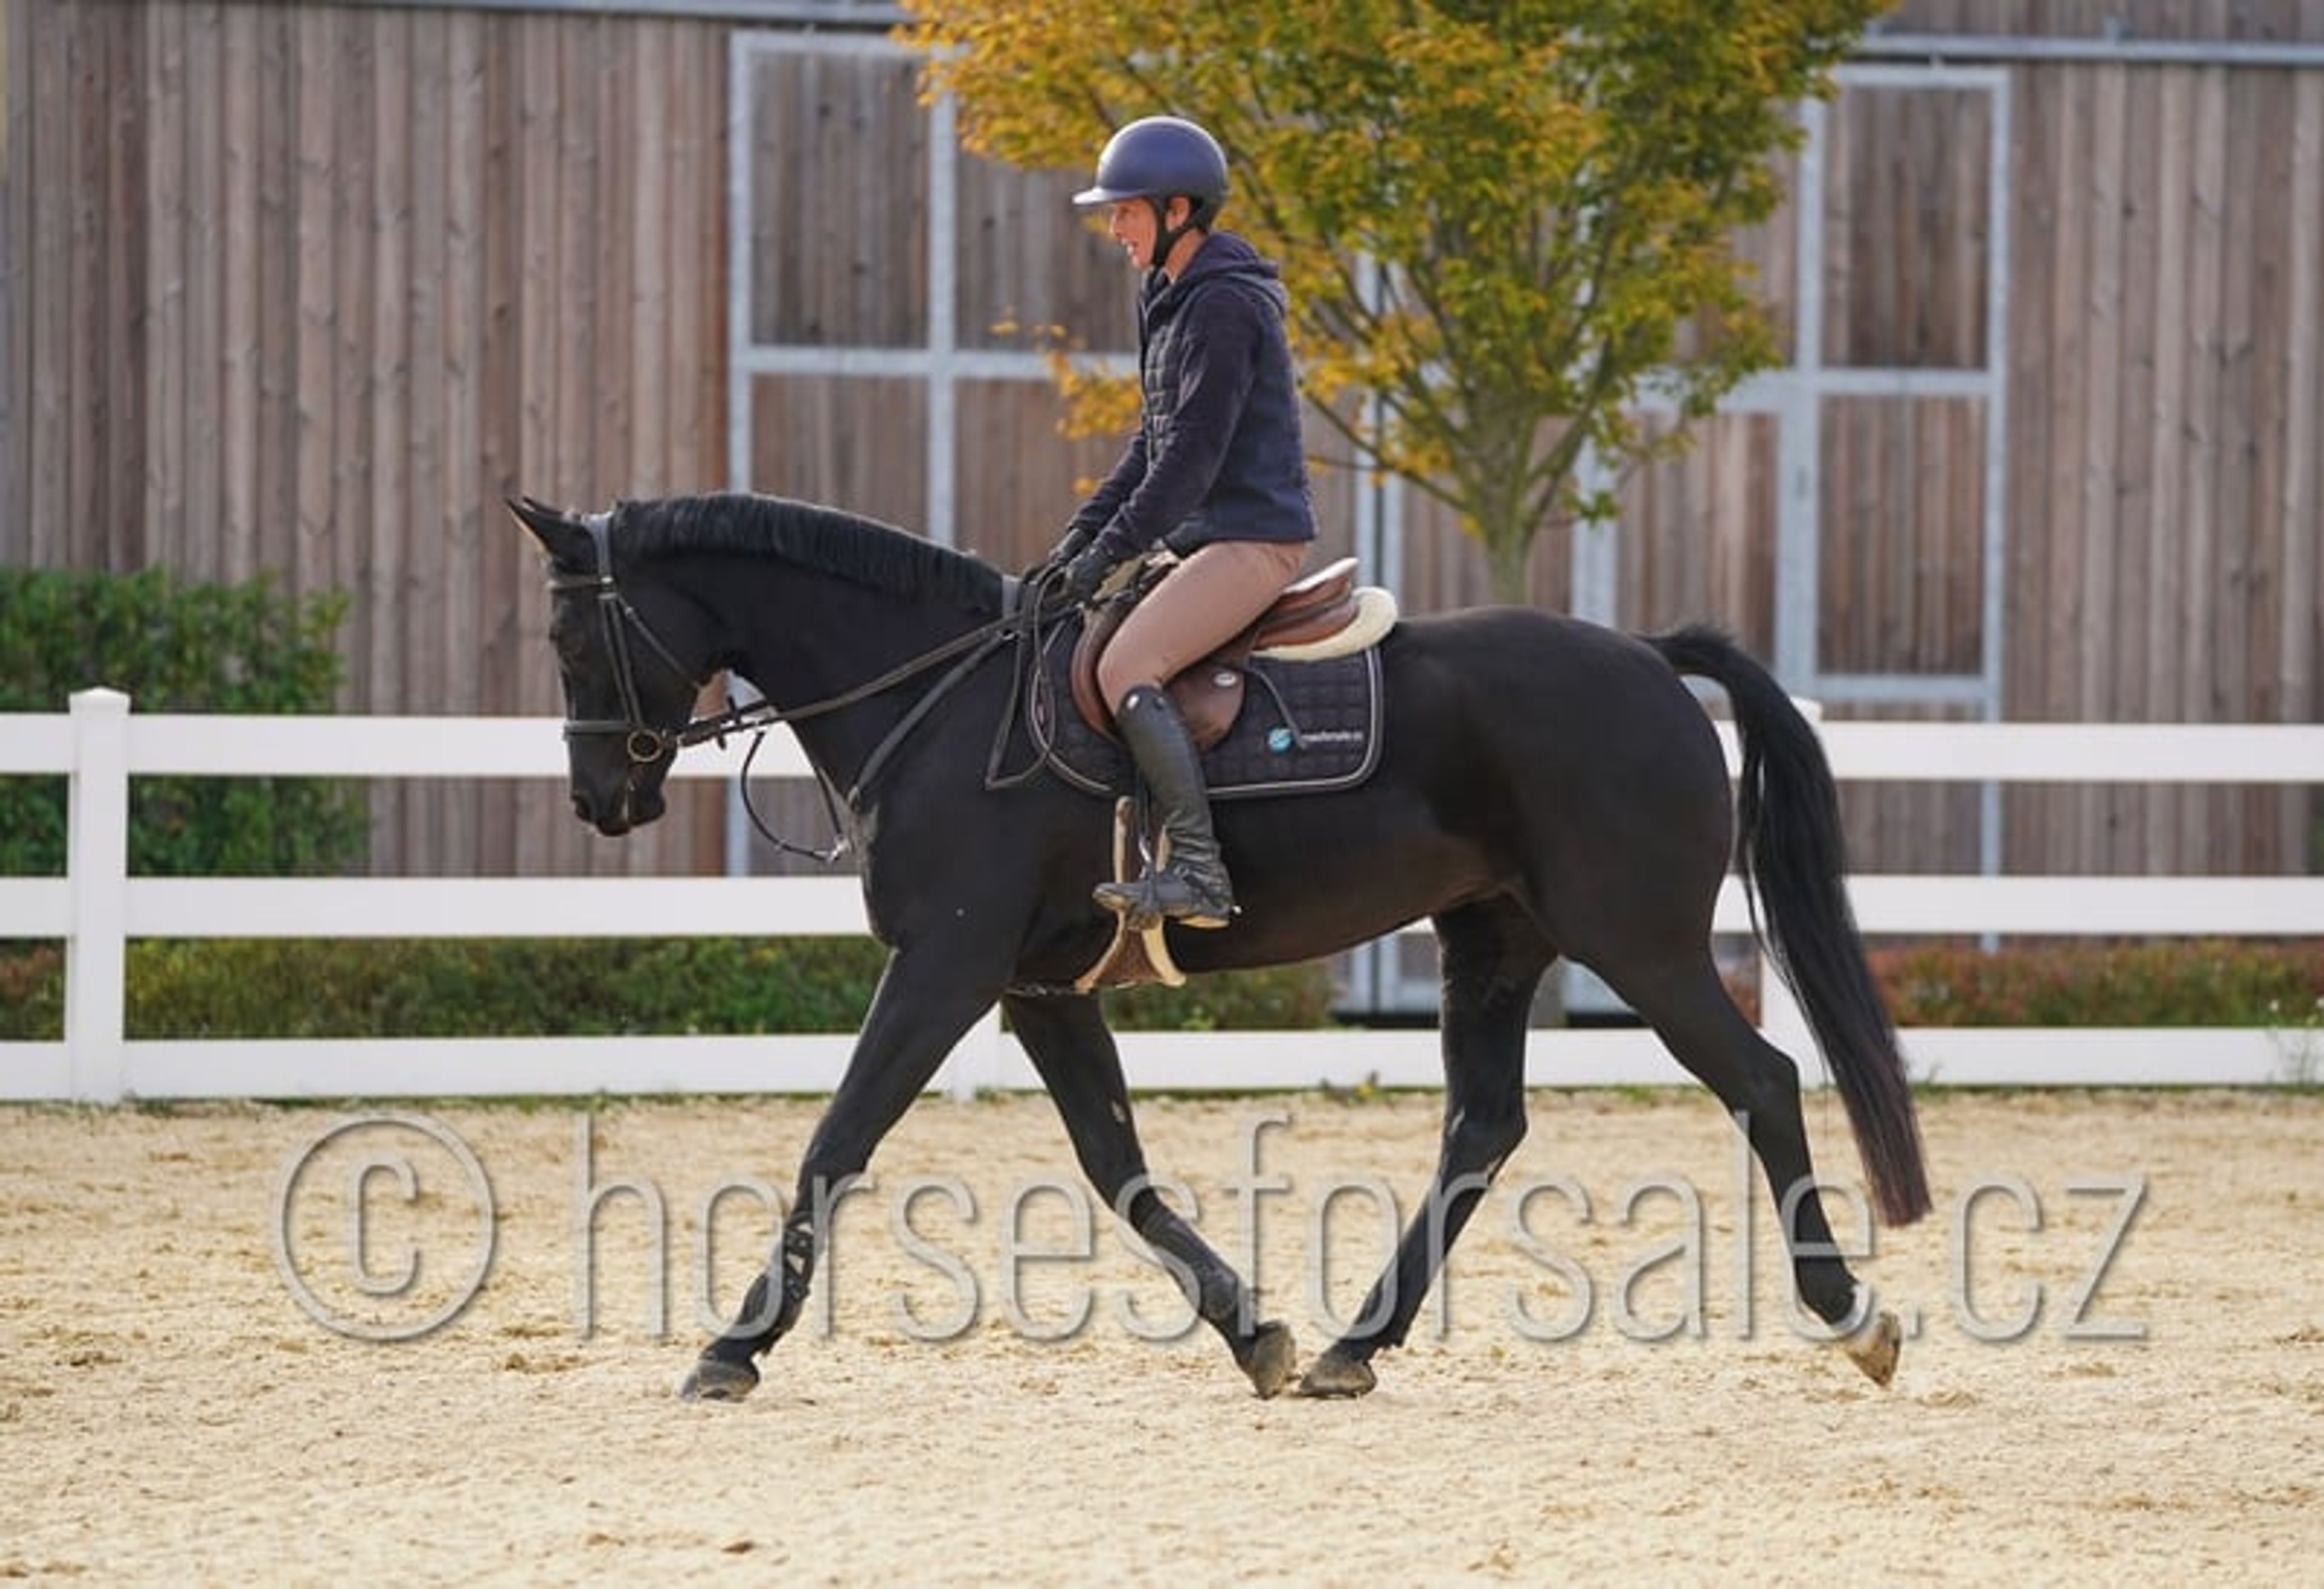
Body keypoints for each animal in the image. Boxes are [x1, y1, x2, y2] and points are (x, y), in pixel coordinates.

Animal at [510, 490, 1930, 1402]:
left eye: (574, 634)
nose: (599, 798)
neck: (939, 696)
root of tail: (1643, 653)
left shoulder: (944, 969)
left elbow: (836, 1142)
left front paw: (732, 1347)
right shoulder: (1036, 986)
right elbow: (1114, 1162)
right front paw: (1254, 1331)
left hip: (1638, 940)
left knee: (1759, 1080)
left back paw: (1853, 1315)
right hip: (1495, 942)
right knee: (1483, 1126)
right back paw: (1357, 1345)